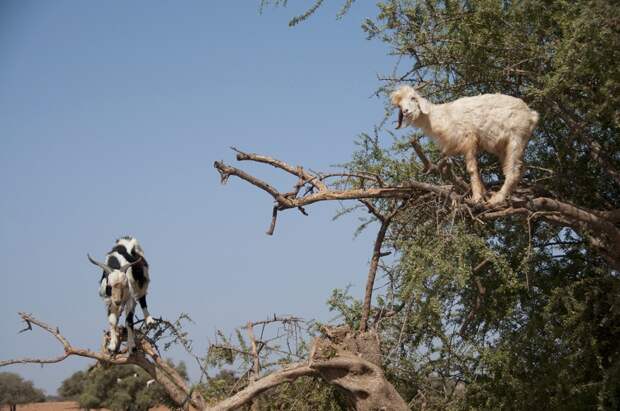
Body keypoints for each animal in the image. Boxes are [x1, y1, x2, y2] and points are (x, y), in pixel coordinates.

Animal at [392, 85, 536, 206]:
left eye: (413, 98)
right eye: (399, 105)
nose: (406, 111)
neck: (439, 116)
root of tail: (532, 115)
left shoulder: (468, 139)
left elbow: (472, 169)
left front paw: (476, 197)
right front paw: (483, 193)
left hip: (515, 139)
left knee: (513, 171)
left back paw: (496, 199)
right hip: (505, 146)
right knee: (520, 168)